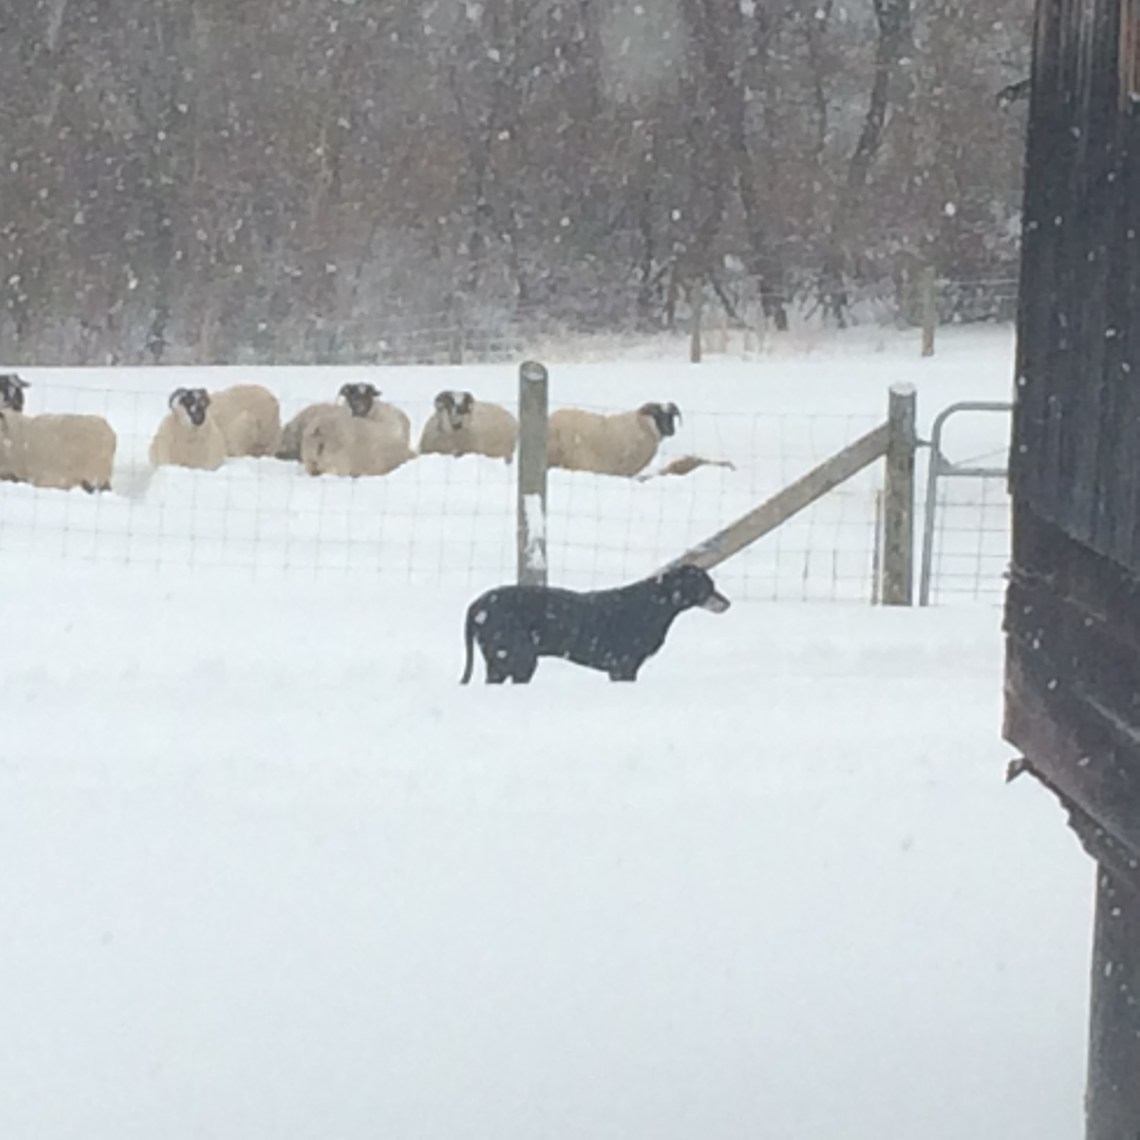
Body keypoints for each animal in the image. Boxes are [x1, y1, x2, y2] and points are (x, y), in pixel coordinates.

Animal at [459, 563, 730, 684]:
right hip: (519, 659)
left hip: (499, 663)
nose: (727, 603)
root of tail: (476, 606)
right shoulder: (623, 667)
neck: (654, 605)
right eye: (707, 586)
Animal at [547, 401, 682, 477]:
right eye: (657, 414)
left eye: (671, 416)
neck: (642, 427)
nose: (671, 431)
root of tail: (550, 418)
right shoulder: (624, 468)